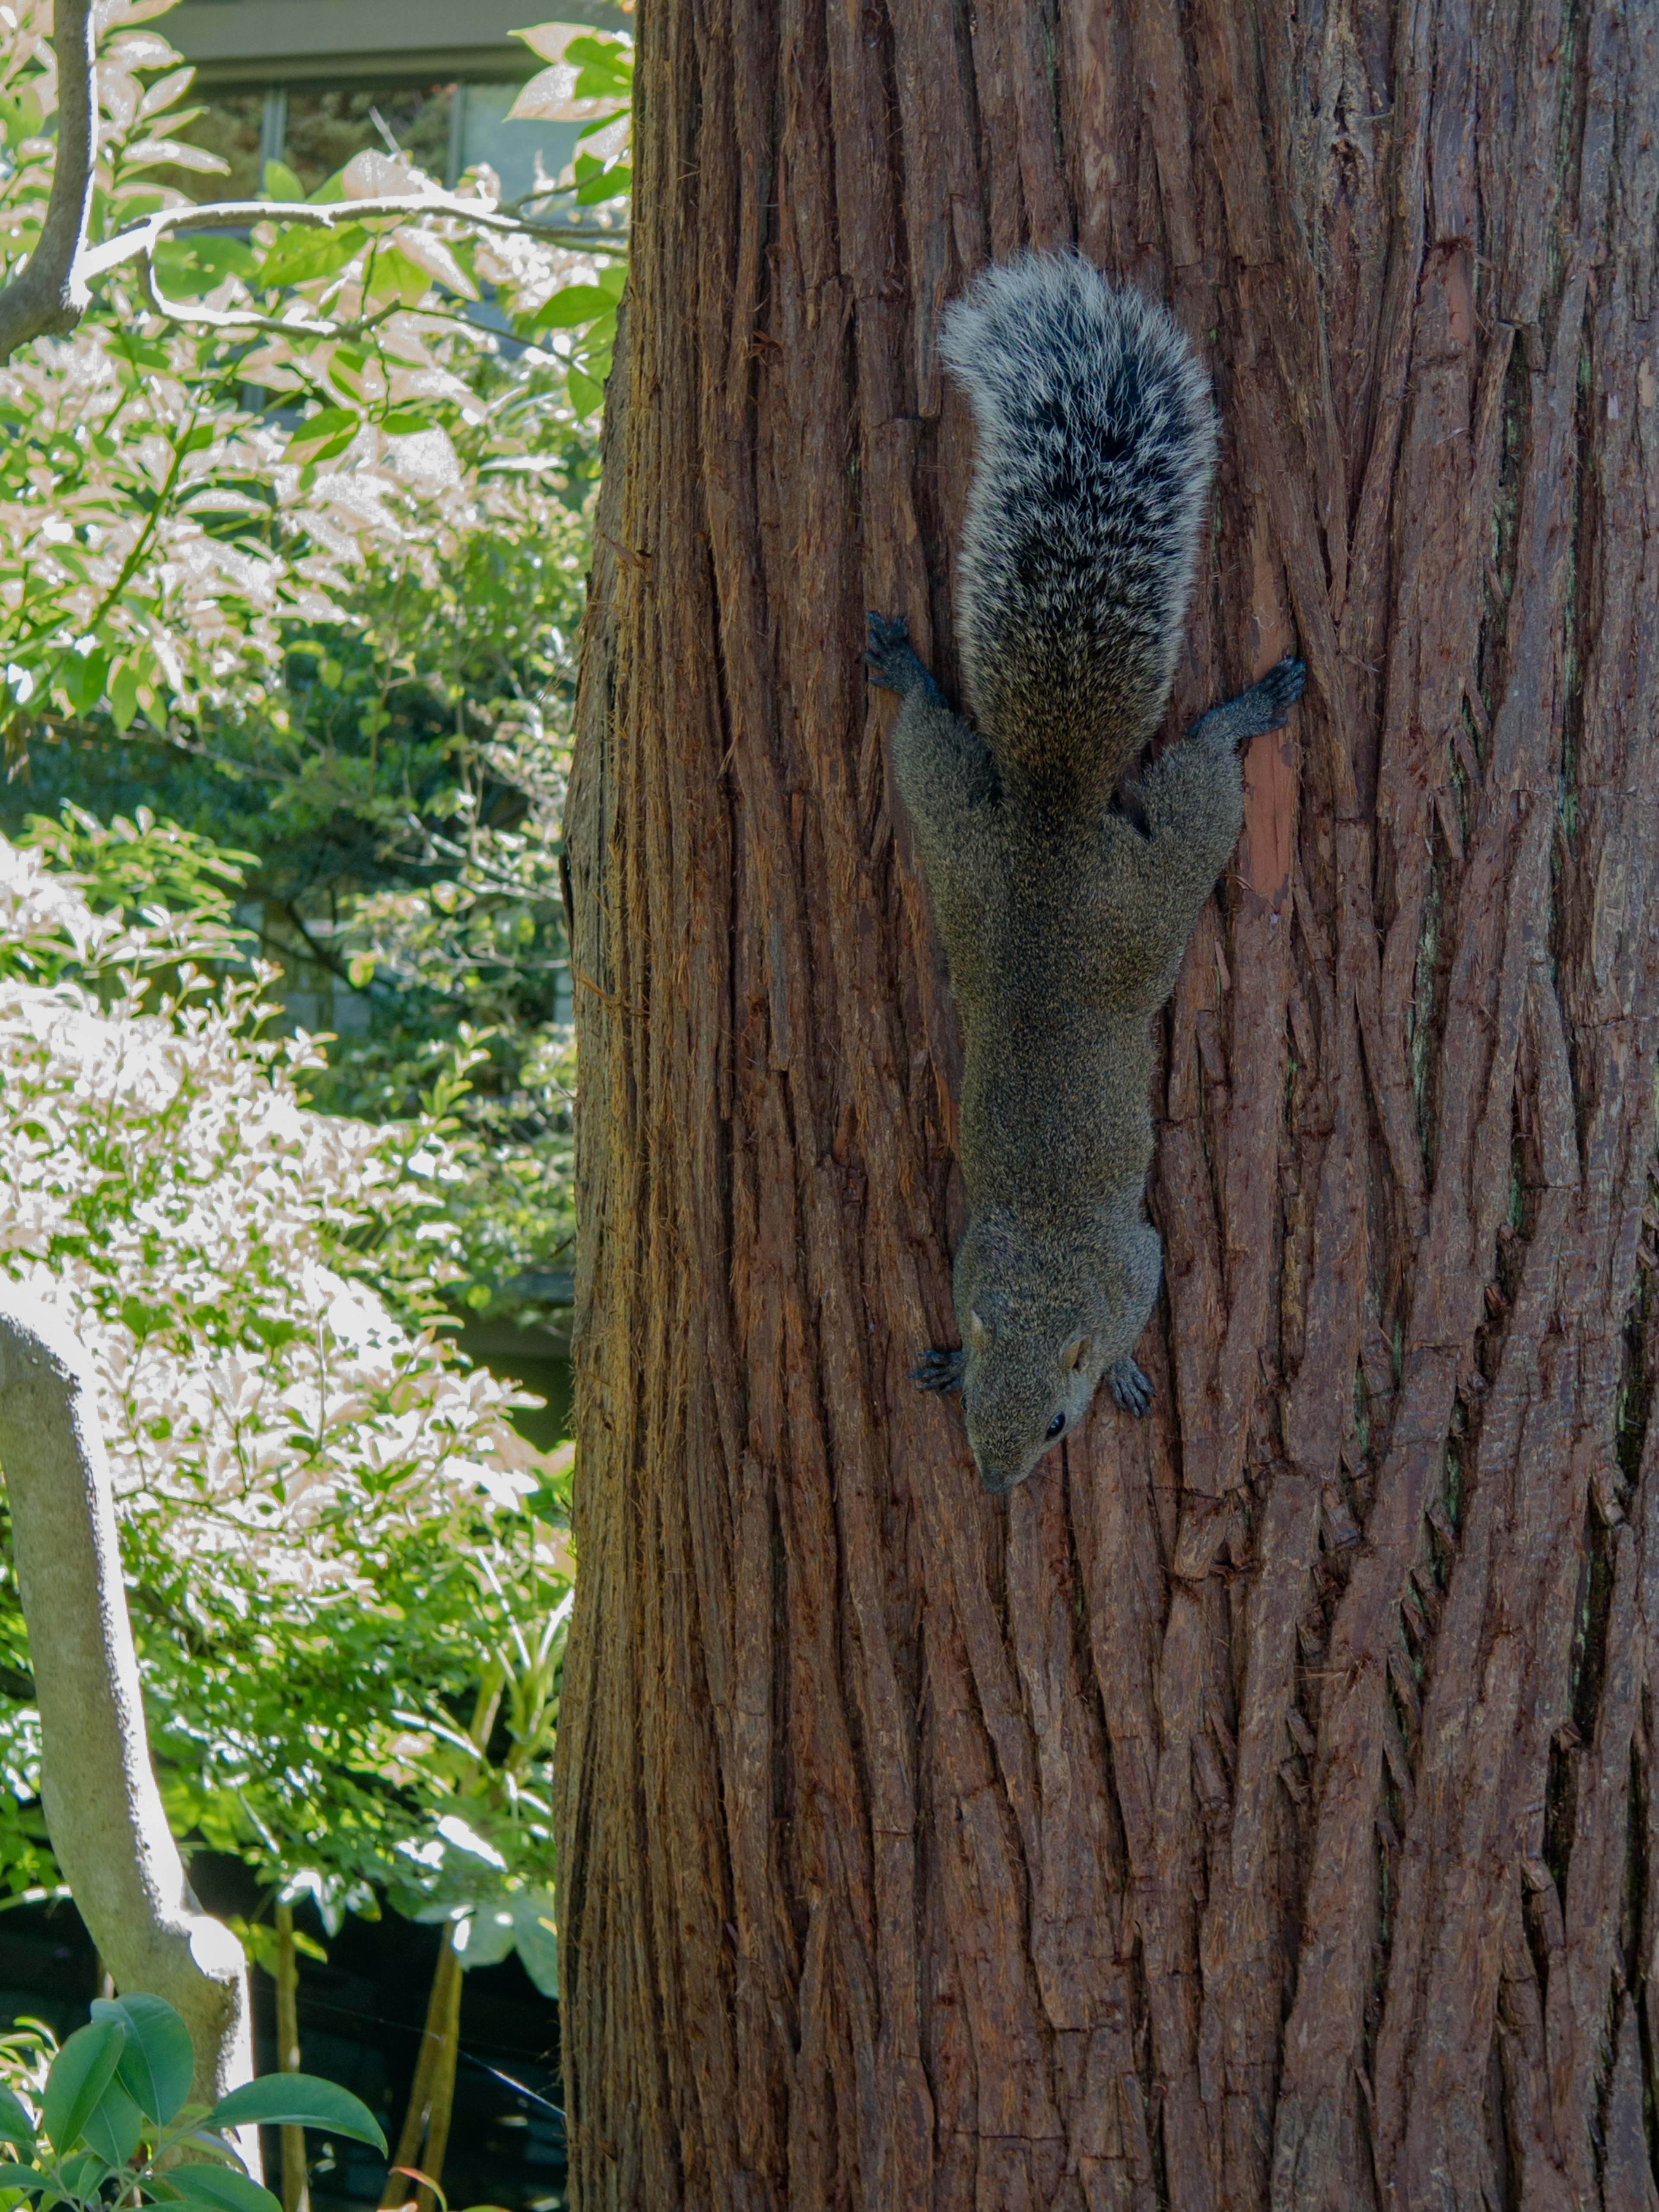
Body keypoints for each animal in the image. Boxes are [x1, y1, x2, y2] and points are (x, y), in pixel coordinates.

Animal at [871, 258, 1309, 1504]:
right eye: (977, 1401)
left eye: (1060, 1425)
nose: (991, 1486)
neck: (1047, 1265)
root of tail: (1058, 812)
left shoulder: (1140, 1256)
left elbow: (1144, 1296)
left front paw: (1122, 1370)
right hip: (960, 832)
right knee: (928, 735)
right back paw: (904, 665)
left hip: (1149, 874)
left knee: (1202, 779)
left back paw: (1248, 709)